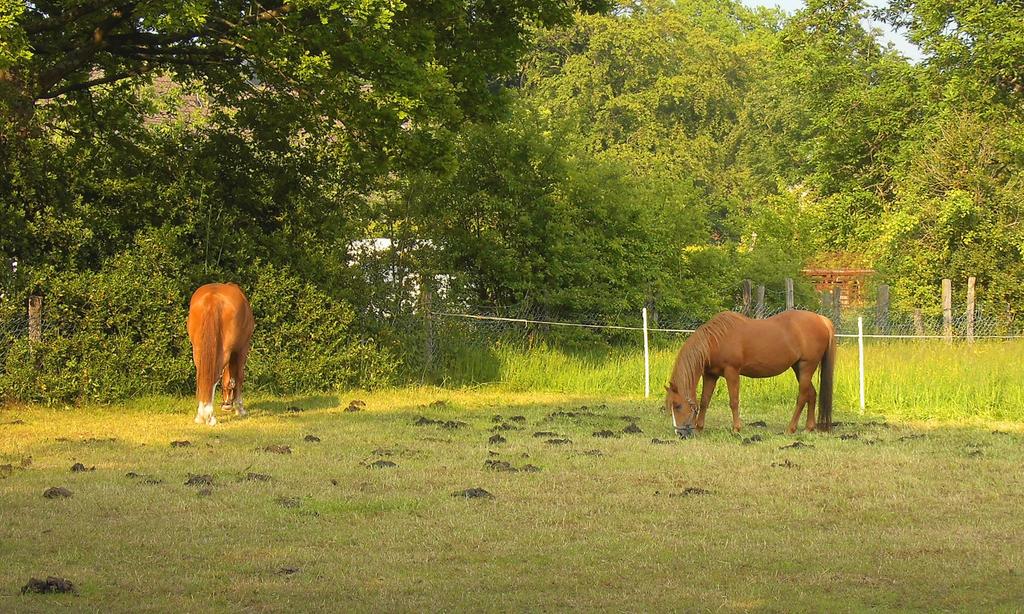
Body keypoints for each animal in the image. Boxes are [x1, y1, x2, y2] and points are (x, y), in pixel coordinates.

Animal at [186, 283, 255, 426]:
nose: (226, 404)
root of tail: (211, 298)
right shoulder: (242, 349)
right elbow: (238, 377)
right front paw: (240, 409)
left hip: (198, 349)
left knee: (202, 376)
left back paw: (200, 416)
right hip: (225, 350)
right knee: (214, 375)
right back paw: (209, 416)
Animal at [664, 310, 835, 437]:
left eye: (677, 405)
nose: (680, 433)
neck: (715, 340)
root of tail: (822, 320)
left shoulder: (731, 372)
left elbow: (733, 401)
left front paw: (736, 429)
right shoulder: (710, 375)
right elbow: (705, 401)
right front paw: (700, 428)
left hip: (807, 367)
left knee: (802, 397)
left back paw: (790, 429)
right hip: (798, 368)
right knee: (812, 394)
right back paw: (808, 428)